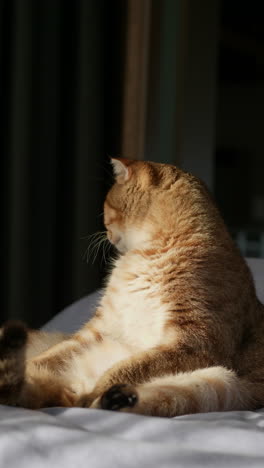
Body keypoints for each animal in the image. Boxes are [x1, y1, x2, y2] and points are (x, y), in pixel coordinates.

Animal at [0, 159, 264, 414]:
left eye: (105, 207)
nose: (105, 231)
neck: (148, 253)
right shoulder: (101, 328)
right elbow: (52, 355)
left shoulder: (196, 342)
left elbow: (128, 367)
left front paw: (101, 389)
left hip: (218, 385)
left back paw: (108, 398)